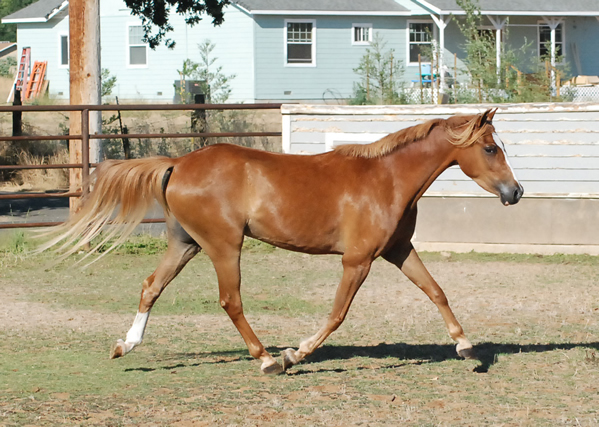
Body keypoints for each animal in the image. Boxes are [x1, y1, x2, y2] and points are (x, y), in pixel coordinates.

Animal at [42, 108, 524, 374]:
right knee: (231, 301)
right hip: (224, 247)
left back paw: (125, 345)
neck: (386, 179)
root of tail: (178, 163)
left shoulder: (397, 251)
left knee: (151, 287)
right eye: (490, 148)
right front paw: (295, 354)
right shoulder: (358, 260)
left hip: (186, 245)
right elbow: (336, 315)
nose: (515, 192)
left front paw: (465, 346)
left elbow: (436, 291)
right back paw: (267, 359)